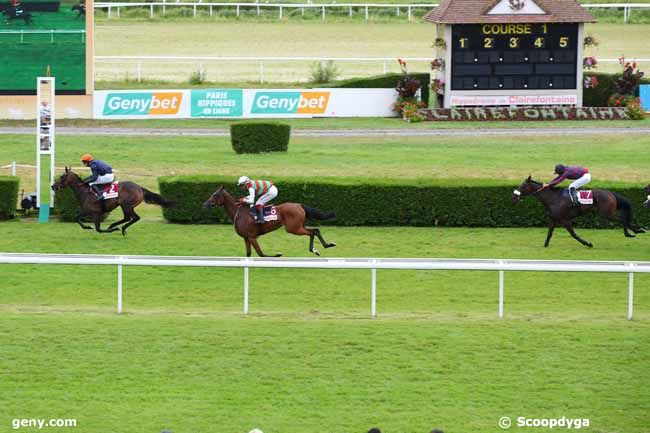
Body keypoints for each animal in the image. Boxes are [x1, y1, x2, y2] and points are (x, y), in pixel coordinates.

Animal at [202, 186, 336, 256]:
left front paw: (277, 254)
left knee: (313, 232)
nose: (205, 204)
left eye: (214, 195)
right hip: (299, 226)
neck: (238, 213)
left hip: (293, 228)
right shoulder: (246, 238)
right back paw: (322, 247)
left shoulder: (251, 237)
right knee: (315, 230)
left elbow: (261, 253)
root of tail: (299, 205)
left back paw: (319, 248)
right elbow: (249, 253)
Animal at [512, 175, 644, 246]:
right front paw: (545, 245)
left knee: (622, 219)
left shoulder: (565, 220)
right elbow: (549, 233)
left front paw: (588, 243)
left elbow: (573, 234)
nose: (514, 197)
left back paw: (630, 233)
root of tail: (610, 193)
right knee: (624, 219)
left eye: (522, 186)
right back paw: (637, 230)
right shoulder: (554, 219)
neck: (553, 198)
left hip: (606, 214)